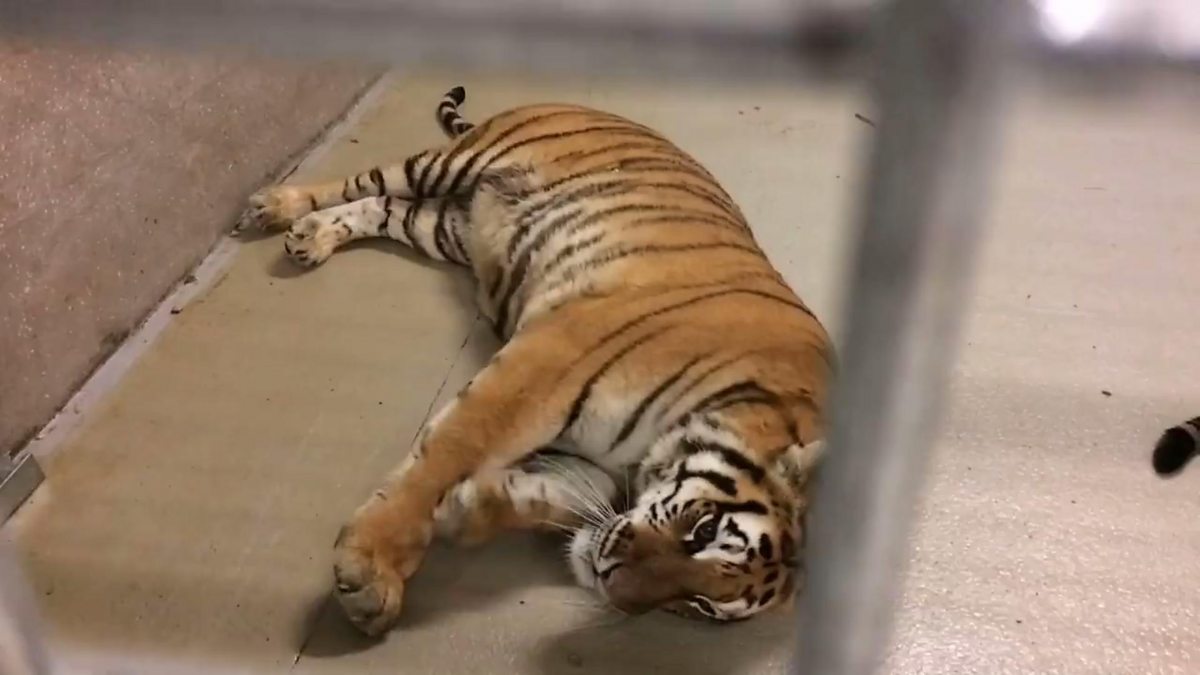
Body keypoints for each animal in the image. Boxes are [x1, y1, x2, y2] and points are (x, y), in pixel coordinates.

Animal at [237, 86, 835, 635]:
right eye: (705, 530)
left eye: (701, 604)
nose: (613, 586)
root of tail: (589, 103)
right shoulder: (549, 360)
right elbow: (448, 452)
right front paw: (369, 572)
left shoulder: (594, 457)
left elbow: (566, 497)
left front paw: (473, 505)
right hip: (451, 163)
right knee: (362, 183)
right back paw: (277, 208)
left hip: (448, 228)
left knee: (383, 209)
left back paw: (312, 237)